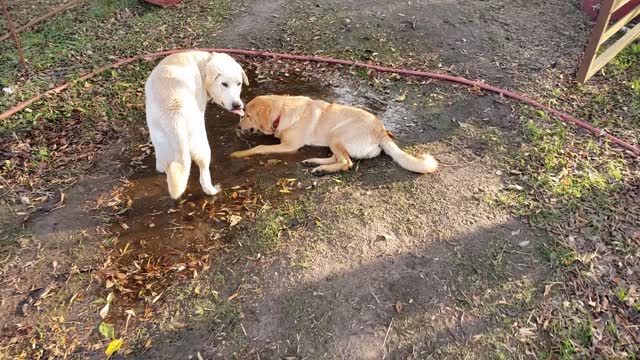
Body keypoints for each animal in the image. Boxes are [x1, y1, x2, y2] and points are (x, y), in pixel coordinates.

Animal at [145, 50, 248, 198]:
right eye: (224, 84)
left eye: (239, 83)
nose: (237, 105)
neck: (203, 64)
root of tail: (173, 112)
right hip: (201, 144)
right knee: (203, 174)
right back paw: (212, 190)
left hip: (161, 144)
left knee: (164, 164)